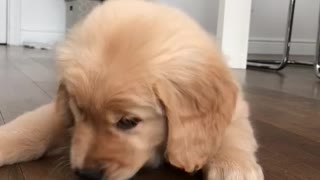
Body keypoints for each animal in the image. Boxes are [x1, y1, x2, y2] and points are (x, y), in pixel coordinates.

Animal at [0, 0, 262, 179]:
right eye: (79, 111)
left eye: (128, 122)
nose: (86, 174)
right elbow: (31, 127)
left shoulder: (236, 108)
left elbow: (233, 134)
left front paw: (234, 167)